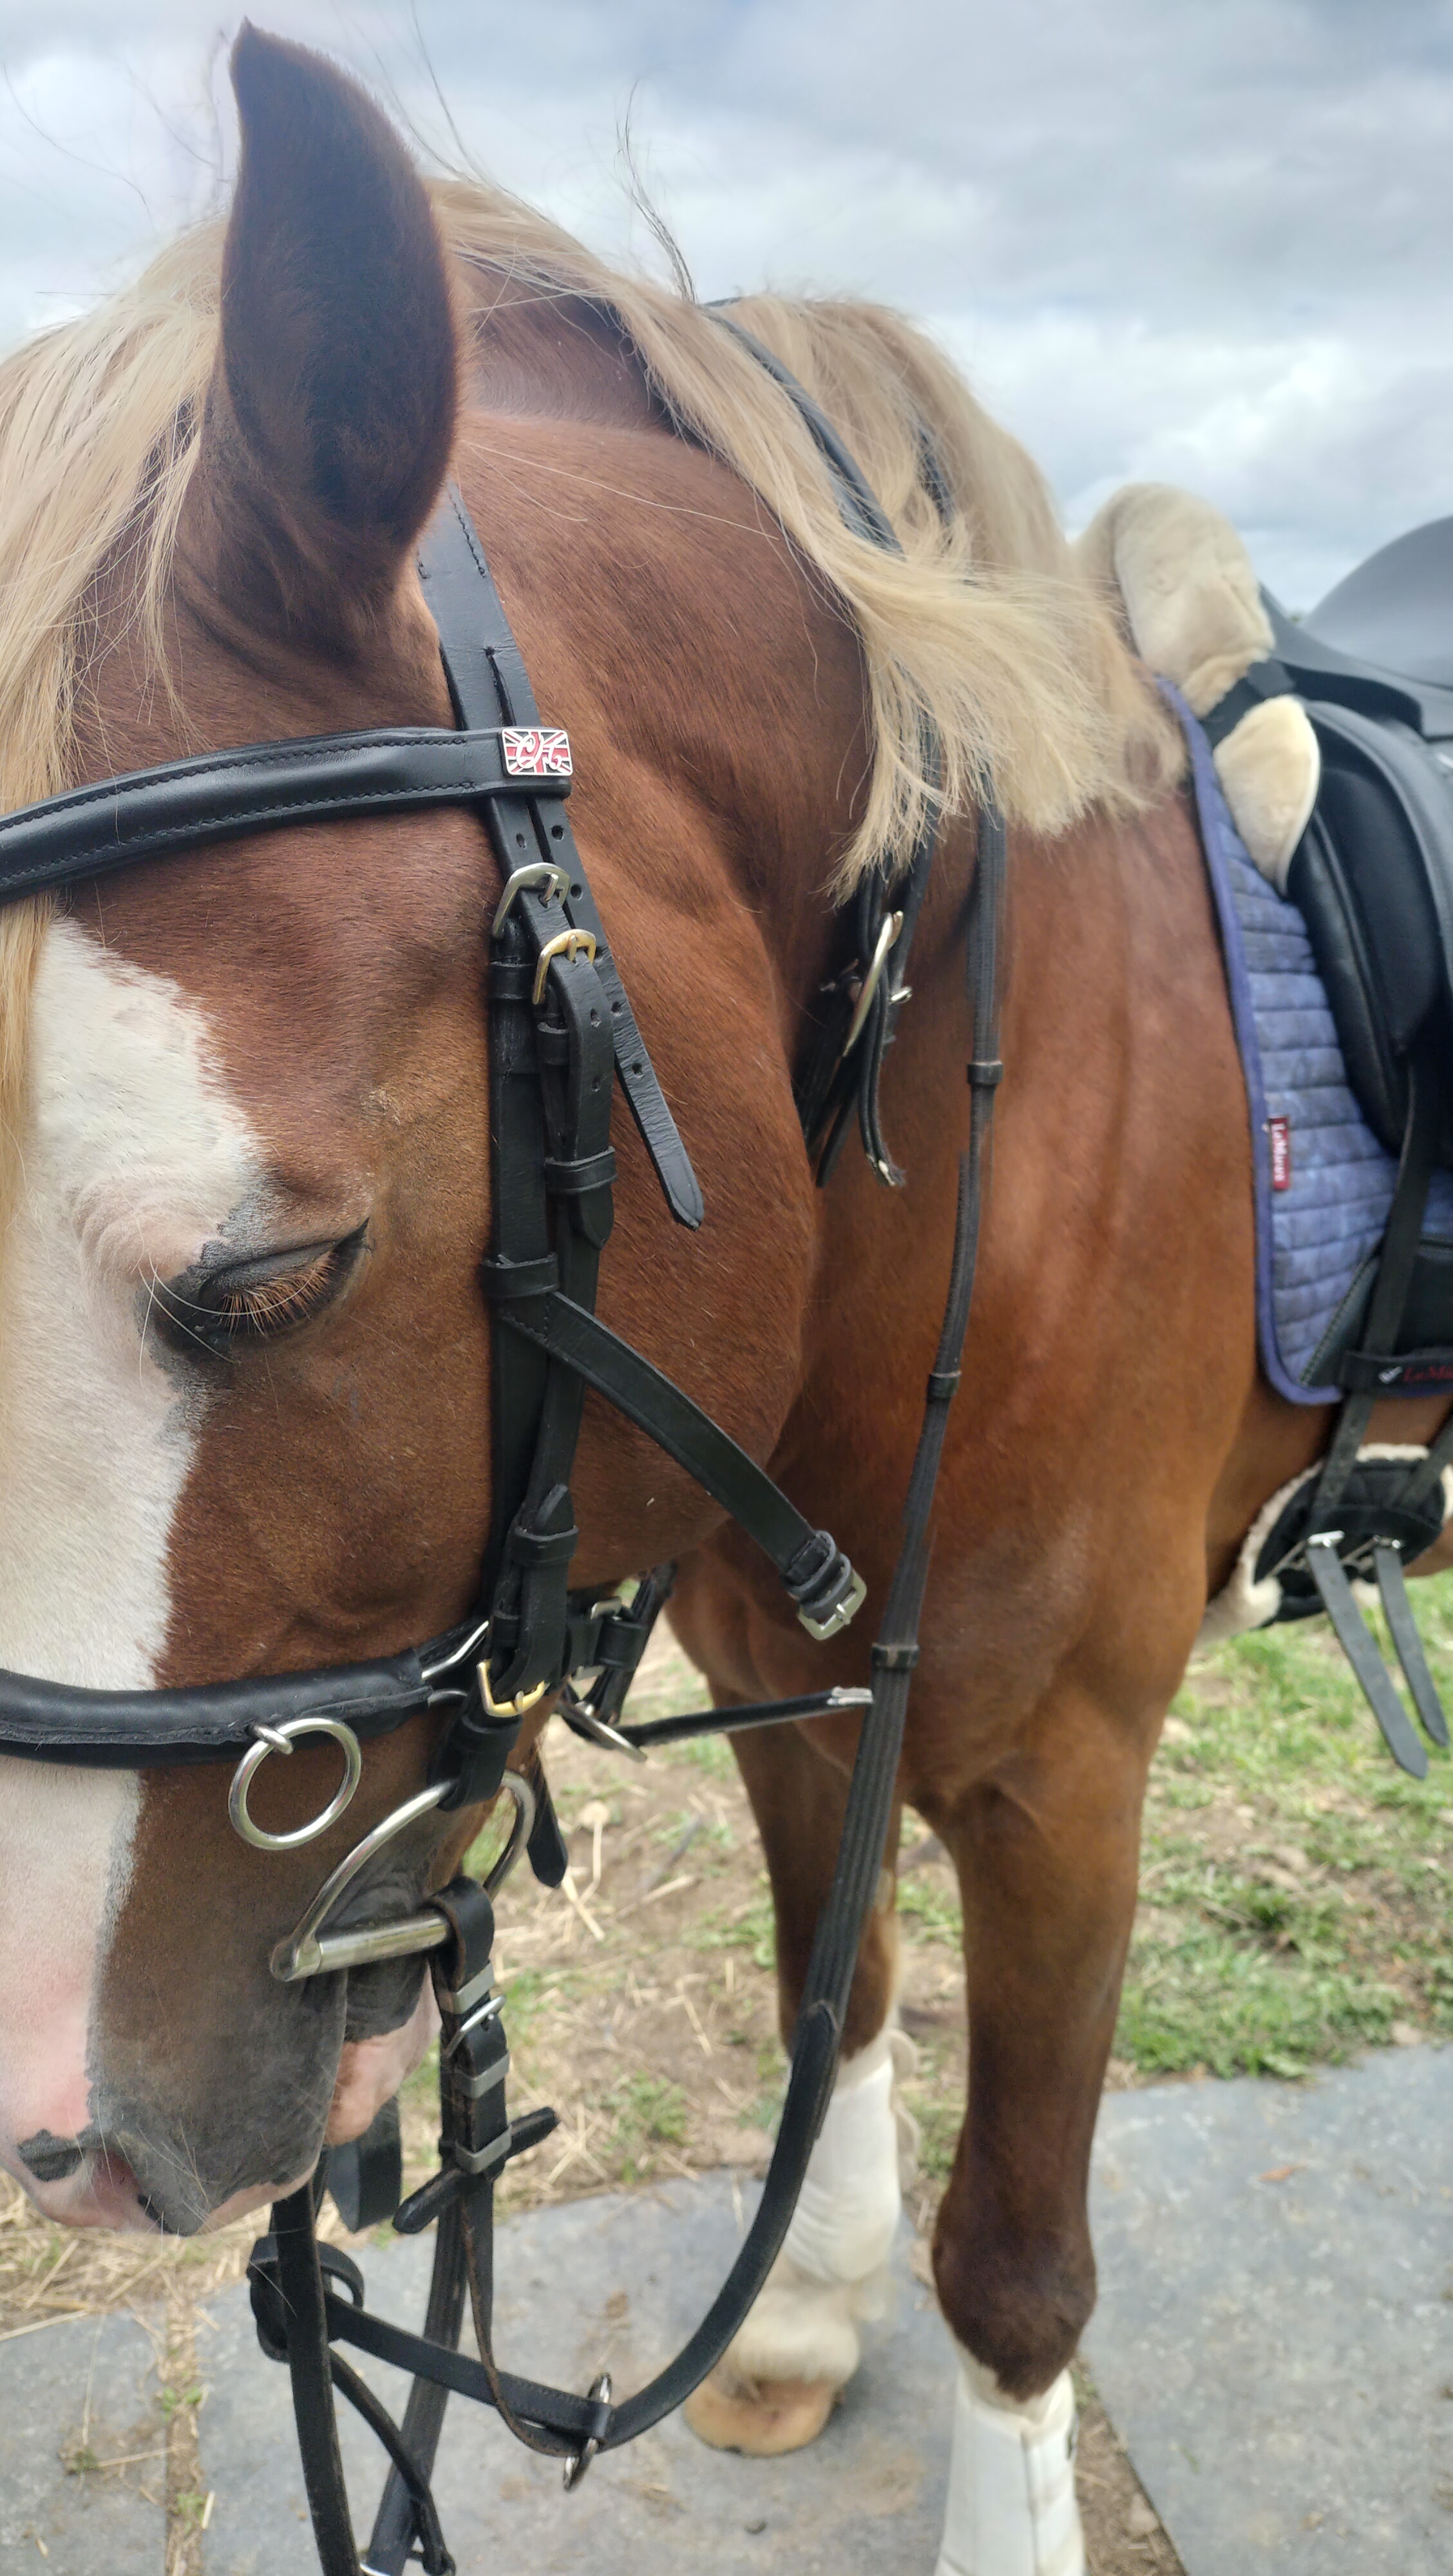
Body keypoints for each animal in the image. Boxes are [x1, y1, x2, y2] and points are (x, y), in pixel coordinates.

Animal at [0, 28, 1444, 2573]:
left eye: (275, 1271)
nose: (66, 2130)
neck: (938, 1110)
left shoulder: (1065, 1782)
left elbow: (1019, 2246)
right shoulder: (790, 1676)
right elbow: (828, 1989)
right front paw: (802, 2314)